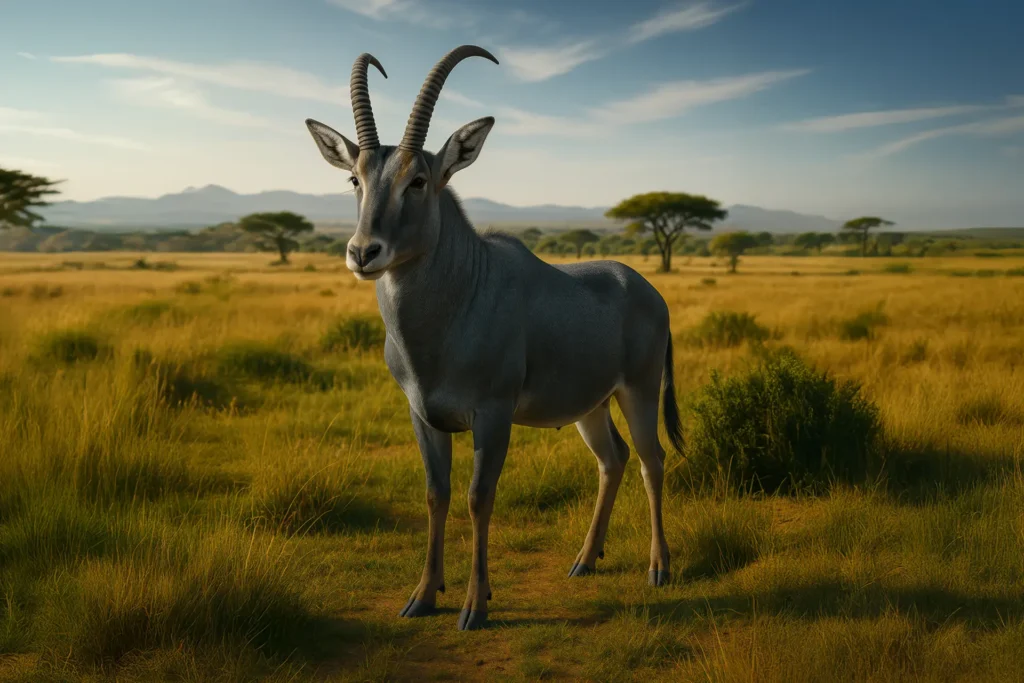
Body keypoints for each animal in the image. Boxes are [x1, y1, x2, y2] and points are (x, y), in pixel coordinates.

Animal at [305, 45, 684, 631]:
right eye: (355, 178)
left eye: (419, 179)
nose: (364, 252)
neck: (455, 303)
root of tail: (647, 289)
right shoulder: (422, 416)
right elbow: (436, 495)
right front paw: (422, 596)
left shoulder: (493, 415)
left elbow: (478, 498)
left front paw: (474, 606)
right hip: (591, 407)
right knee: (613, 458)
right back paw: (584, 561)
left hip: (638, 393)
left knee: (652, 460)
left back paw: (658, 569)